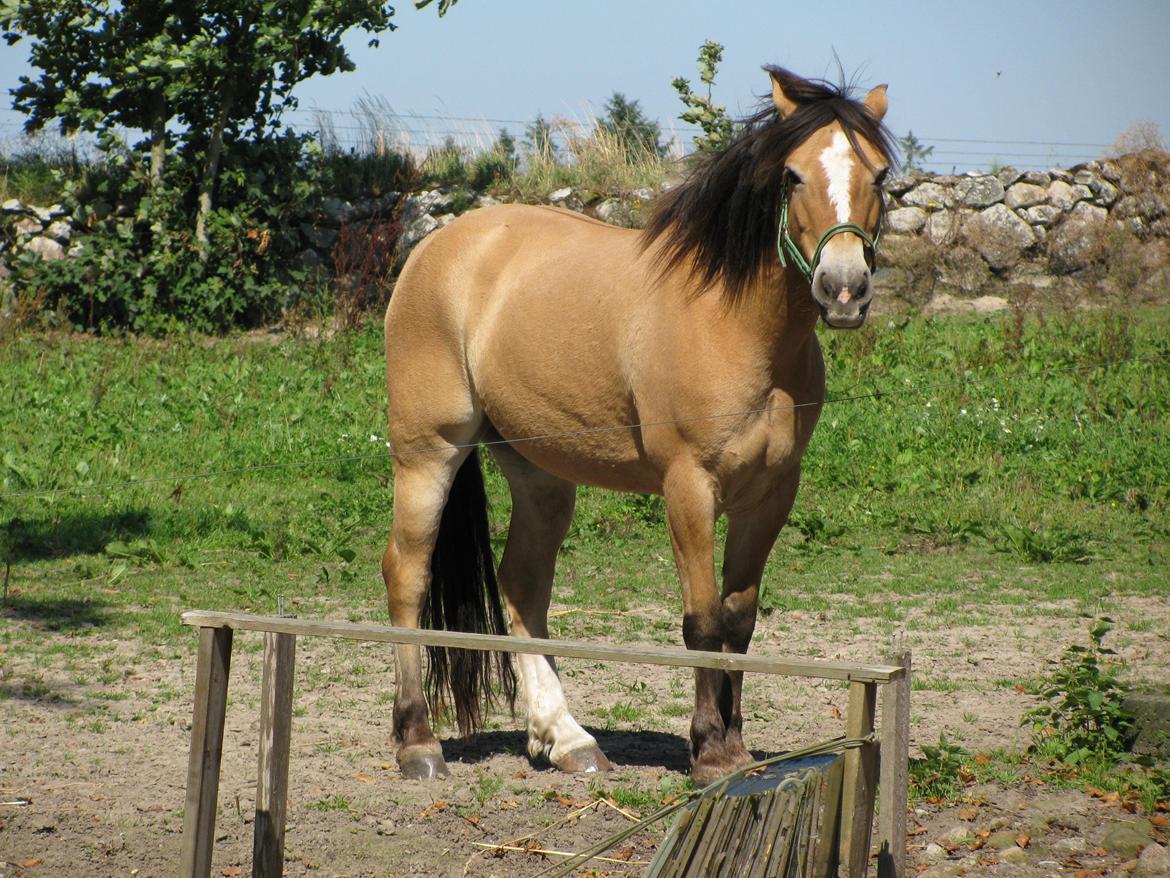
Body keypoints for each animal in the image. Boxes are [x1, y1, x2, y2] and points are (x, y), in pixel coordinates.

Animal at [379, 67, 889, 782]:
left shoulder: (770, 494)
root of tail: (436, 246)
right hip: (428, 453)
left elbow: (739, 620)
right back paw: (418, 743)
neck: (733, 324)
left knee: (522, 585)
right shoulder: (688, 487)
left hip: (540, 474)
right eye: (792, 175)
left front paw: (737, 745)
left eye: (880, 175)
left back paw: (566, 739)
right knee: (407, 574)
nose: (844, 288)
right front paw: (710, 751)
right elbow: (702, 620)